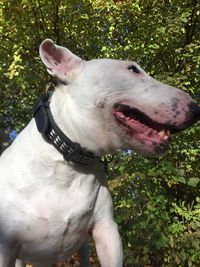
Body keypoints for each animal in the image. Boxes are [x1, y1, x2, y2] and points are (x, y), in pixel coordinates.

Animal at [0, 39, 200, 267]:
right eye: (133, 69)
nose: (196, 110)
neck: (69, 162)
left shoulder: (107, 231)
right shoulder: (6, 246)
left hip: (82, 248)